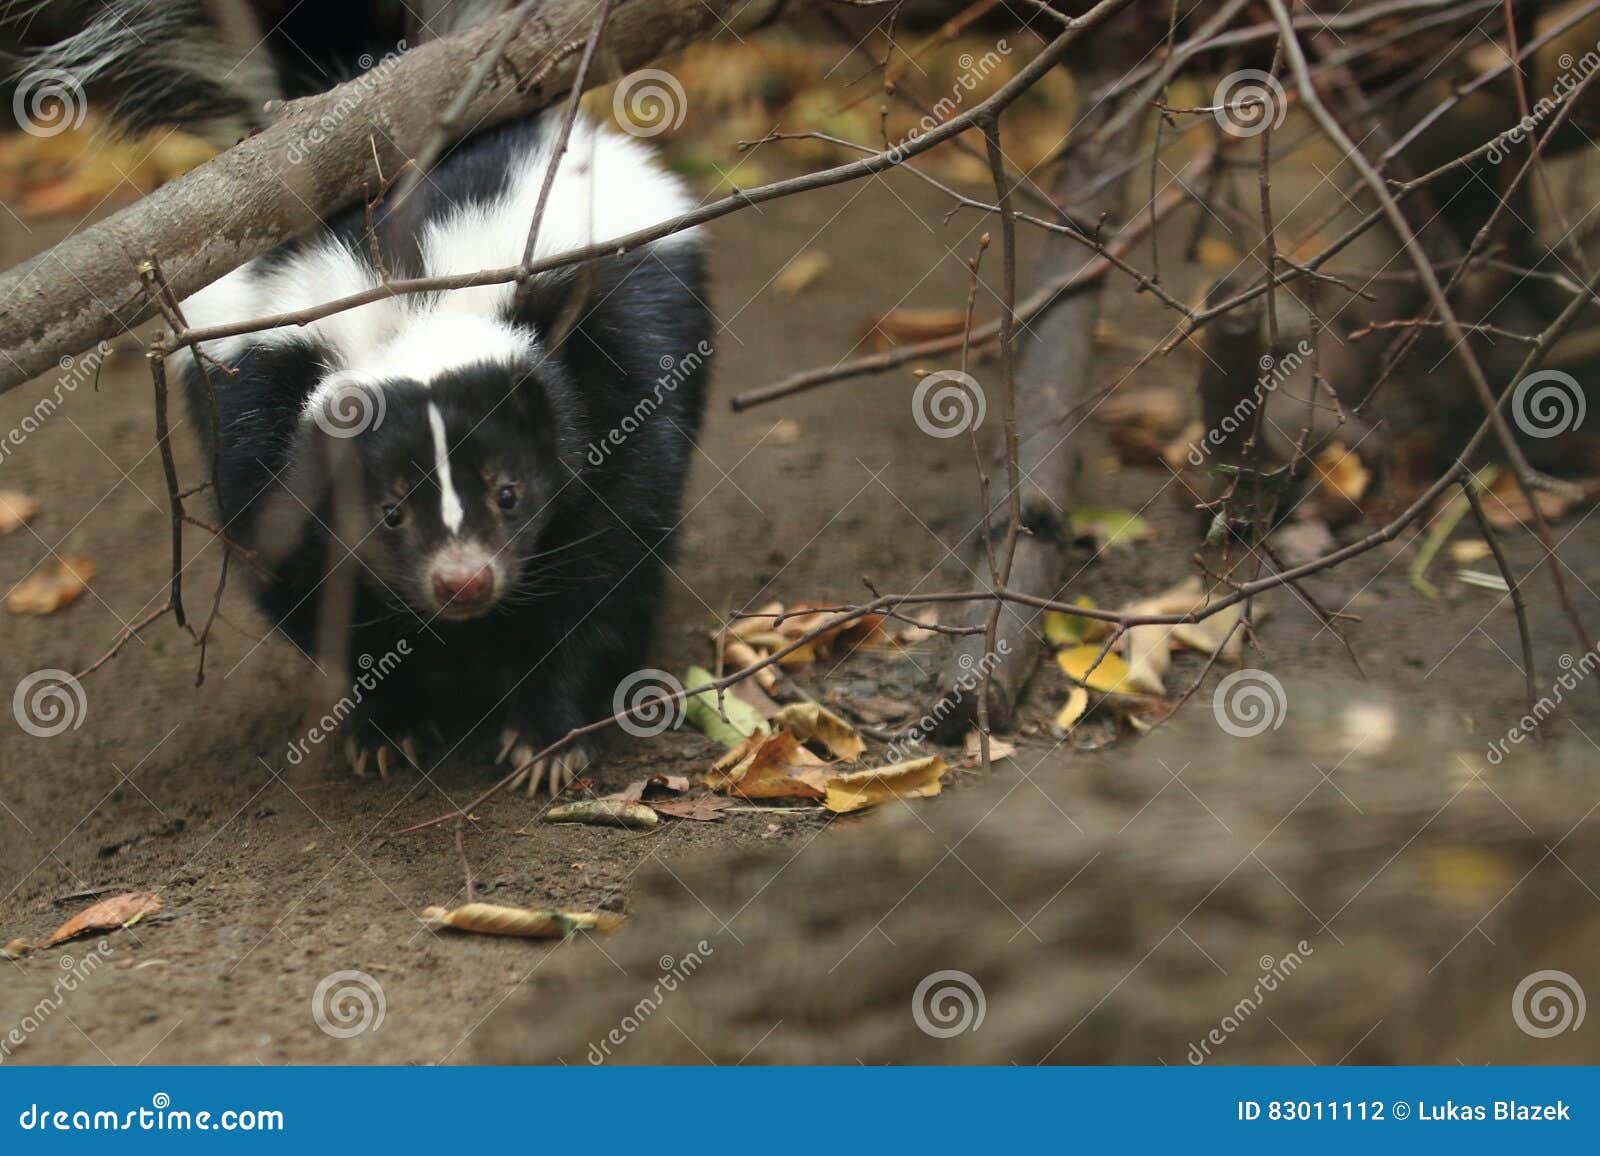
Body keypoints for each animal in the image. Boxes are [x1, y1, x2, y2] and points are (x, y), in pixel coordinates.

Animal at [10, 0, 713, 787]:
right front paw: (389, 725)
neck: (415, 302)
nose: (463, 581)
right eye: (390, 511)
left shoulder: (605, 354)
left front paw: (548, 736)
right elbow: (310, 579)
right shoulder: (259, 404)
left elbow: (610, 556)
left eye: (509, 492)